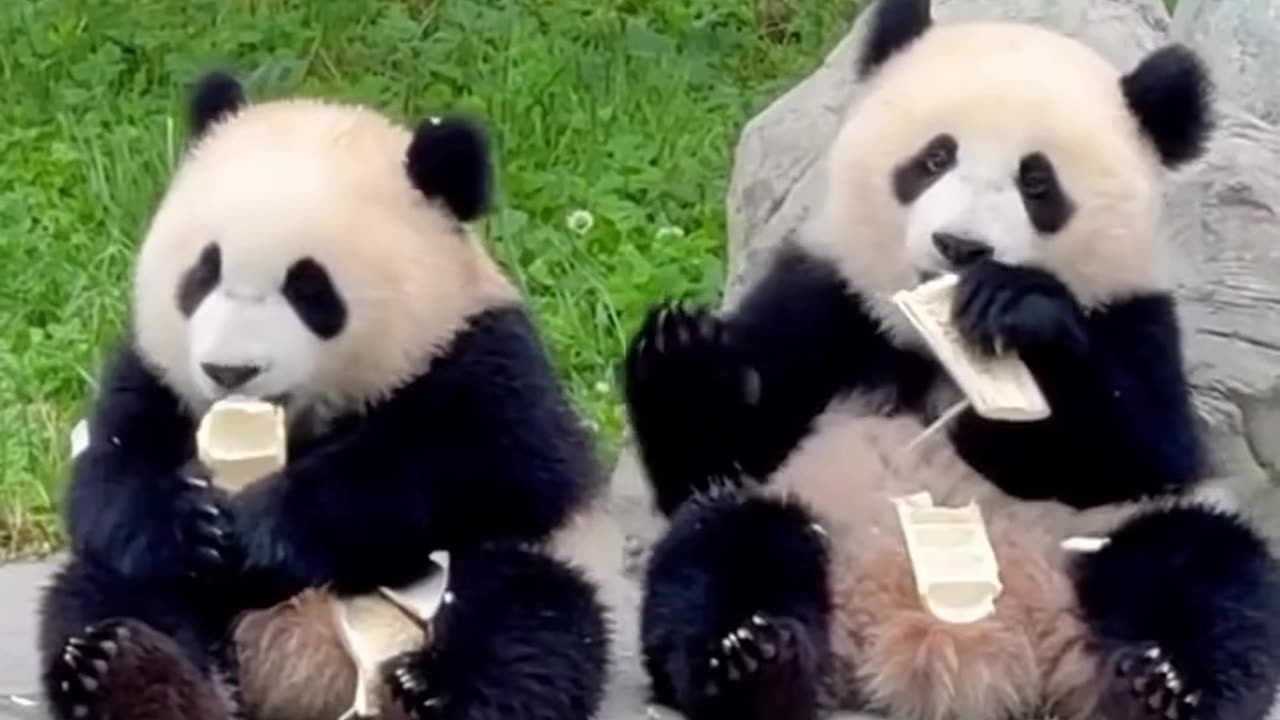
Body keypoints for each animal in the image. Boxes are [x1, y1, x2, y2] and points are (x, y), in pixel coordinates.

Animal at [38, 70, 609, 717]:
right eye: (202, 275)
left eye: (310, 290)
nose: (229, 371)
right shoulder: (154, 374)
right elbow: (107, 472)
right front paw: (192, 520)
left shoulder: (482, 352)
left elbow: (485, 464)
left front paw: (268, 527)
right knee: (106, 593)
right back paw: (128, 669)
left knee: (531, 618)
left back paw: (433, 688)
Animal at [624, 1, 1280, 717]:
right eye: (935, 157)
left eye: (1037, 181)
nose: (960, 246)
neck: (929, 343)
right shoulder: (823, 297)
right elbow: (716, 459)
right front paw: (686, 355)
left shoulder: (1135, 319)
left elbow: (1138, 451)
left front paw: (1016, 314)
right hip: (821, 515)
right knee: (725, 546)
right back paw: (753, 659)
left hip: (1095, 541)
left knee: (1204, 571)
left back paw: (1160, 684)